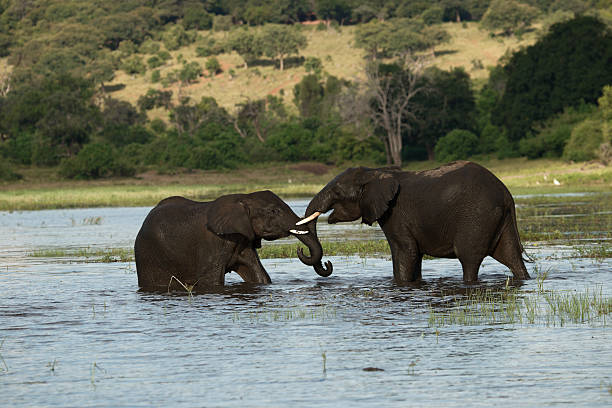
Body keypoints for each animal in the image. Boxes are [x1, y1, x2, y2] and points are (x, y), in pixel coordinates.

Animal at [134, 190, 332, 290]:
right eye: (273, 211)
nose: (301, 250)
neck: (242, 199)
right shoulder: (212, 244)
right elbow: (211, 281)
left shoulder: (243, 240)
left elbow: (258, 275)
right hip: (148, 255)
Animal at [300, 161, 532, 282]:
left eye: (337, 192)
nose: (328, 264)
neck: (376, 172)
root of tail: (506, 194)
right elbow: (414, 256)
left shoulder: (395, 214)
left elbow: (405, 252)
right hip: (498, 219)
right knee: (512, 256)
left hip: (477, 216)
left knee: (469, 259)